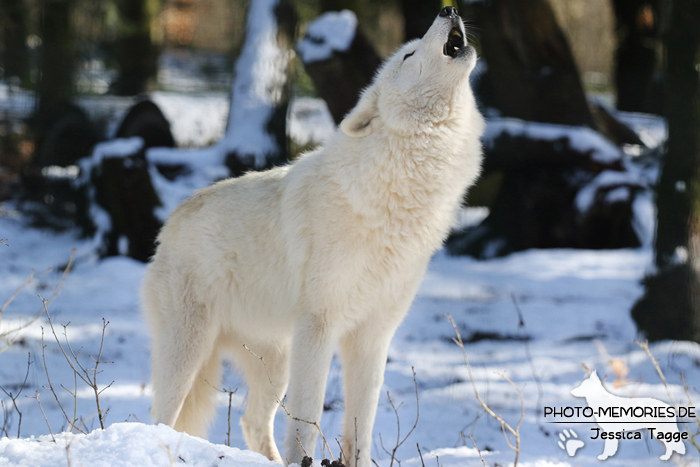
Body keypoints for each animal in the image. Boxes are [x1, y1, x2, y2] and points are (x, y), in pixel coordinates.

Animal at [142, 7, 482, 467]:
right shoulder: (319, 326)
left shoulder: (373, 336)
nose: (448, 9)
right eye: (409, 54)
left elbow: (360, 426)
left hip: (275, 363)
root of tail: (168, 226)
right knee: (162, 417)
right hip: (192, 353)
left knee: (251, 421)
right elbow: (307, 417)